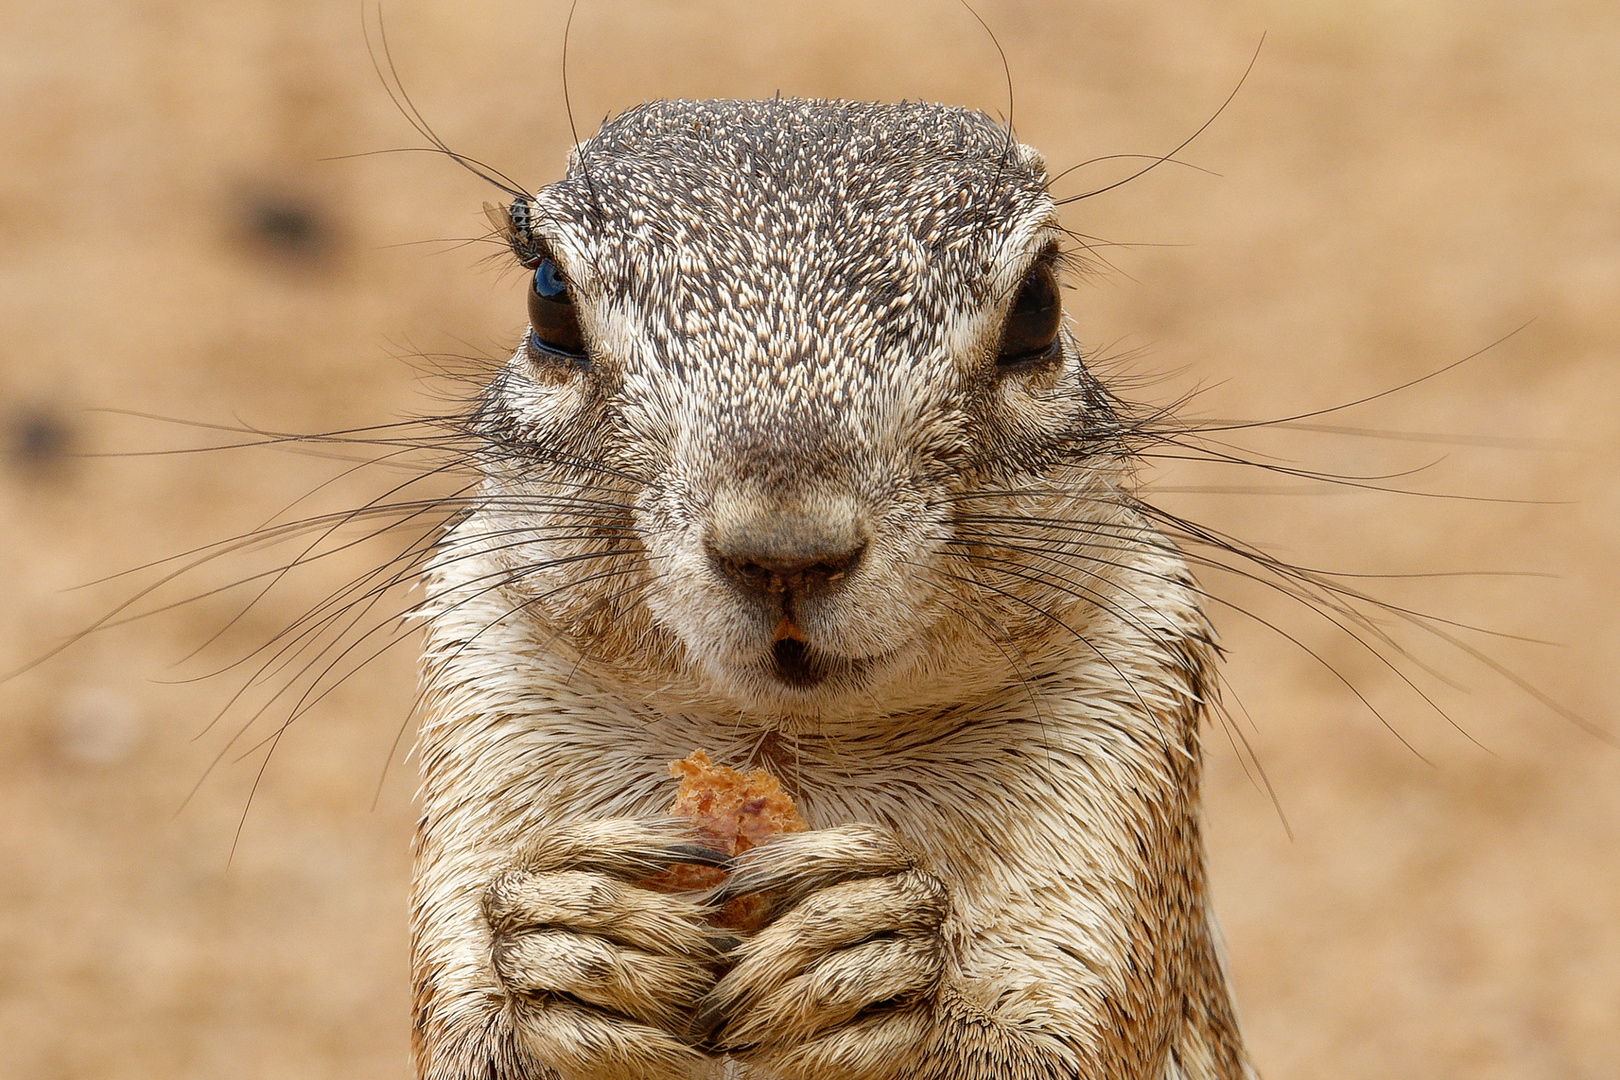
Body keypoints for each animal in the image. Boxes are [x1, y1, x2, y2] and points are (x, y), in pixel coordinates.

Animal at [411, 97, 1244, 1075]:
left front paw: (883, 960)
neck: (786, 743)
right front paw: (569, 935)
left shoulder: (1124, 734)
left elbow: (1045, 1049)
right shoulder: (484, 690)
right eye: (547, 297)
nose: (785, 552)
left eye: (1039, 304)